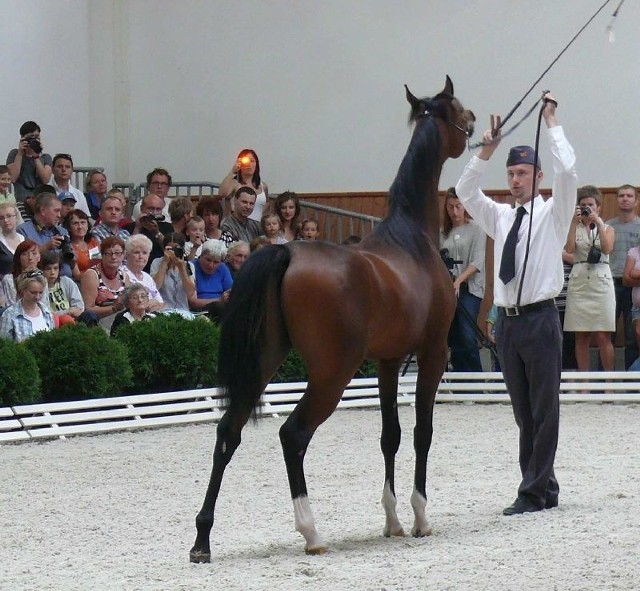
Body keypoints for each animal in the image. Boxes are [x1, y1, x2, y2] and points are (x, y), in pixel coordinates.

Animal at [190, 76, 476, 560]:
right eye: (456, 108)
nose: (473, 122)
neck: (411, 240)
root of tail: (285, 252)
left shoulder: (387, 360)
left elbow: (390, 434)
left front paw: (392, 521)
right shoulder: (433, 352)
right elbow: (422, 431)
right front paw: (419, 517)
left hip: (264, 361)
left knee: (228, 432)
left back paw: (202, 540)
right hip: (332, 372)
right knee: (293, 435)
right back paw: (311, 533)